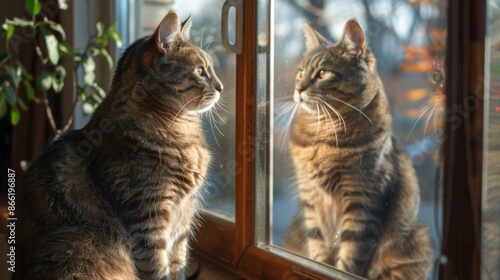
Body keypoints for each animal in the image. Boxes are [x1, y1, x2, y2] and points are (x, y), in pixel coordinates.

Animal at [16, 11, 222, 280]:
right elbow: (157, 269)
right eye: (200, 71)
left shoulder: (181, 224)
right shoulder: (149, 219)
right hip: (75, 246)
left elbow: (178, 266)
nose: (220, 87)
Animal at [286, 19, 434, 278]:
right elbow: (317, 246)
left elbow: (350, 258)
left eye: (322, 73)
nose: (298, 89)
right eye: (300, 72)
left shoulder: (362, 200)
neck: (323, 137)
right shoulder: (310, 197)